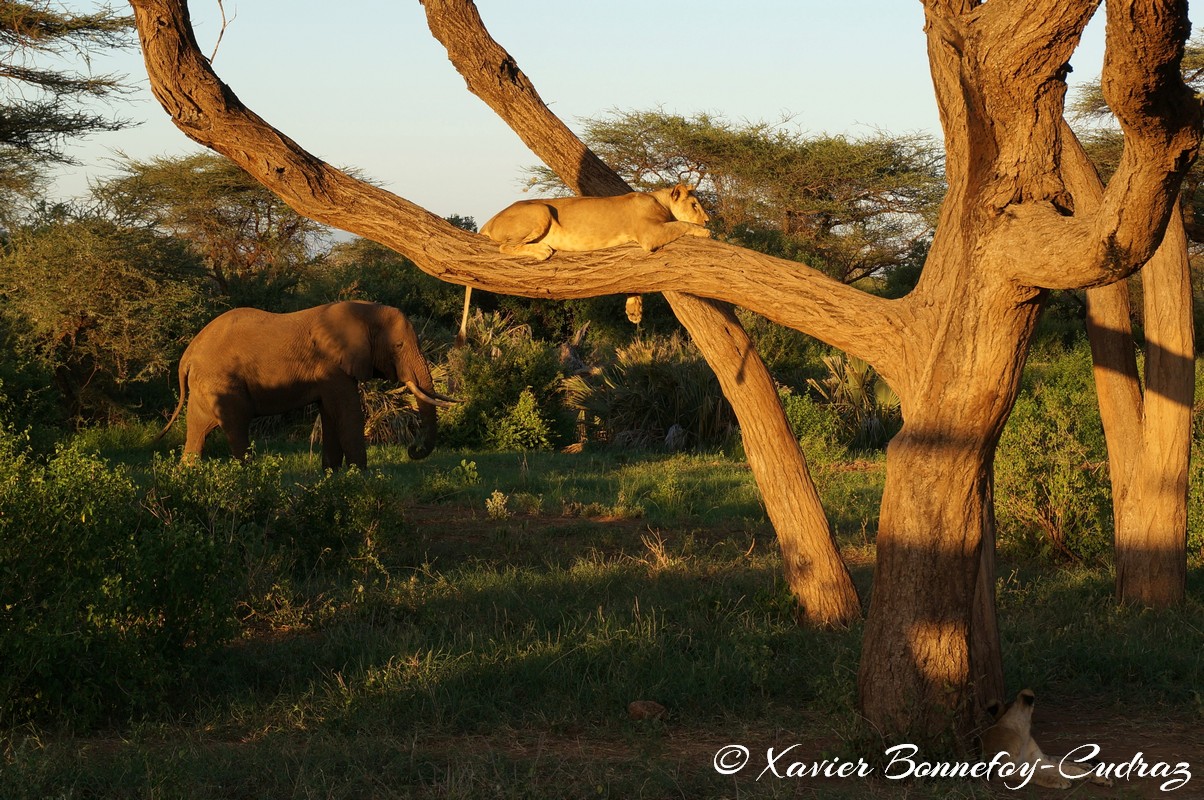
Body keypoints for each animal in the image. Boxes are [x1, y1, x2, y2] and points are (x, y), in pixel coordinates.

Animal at [160, 300, 455, 469]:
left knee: (197, 430)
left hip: (204, 383)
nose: (412, 450)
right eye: (399, 345)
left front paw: (332, 477)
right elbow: (347, 414)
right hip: (221, 381)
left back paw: (187, 475)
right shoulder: (331, 366)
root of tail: (188, 355)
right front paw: (361, 477)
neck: (364, 311)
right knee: (236, 424)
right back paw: (250, 475)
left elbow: (331, 415)